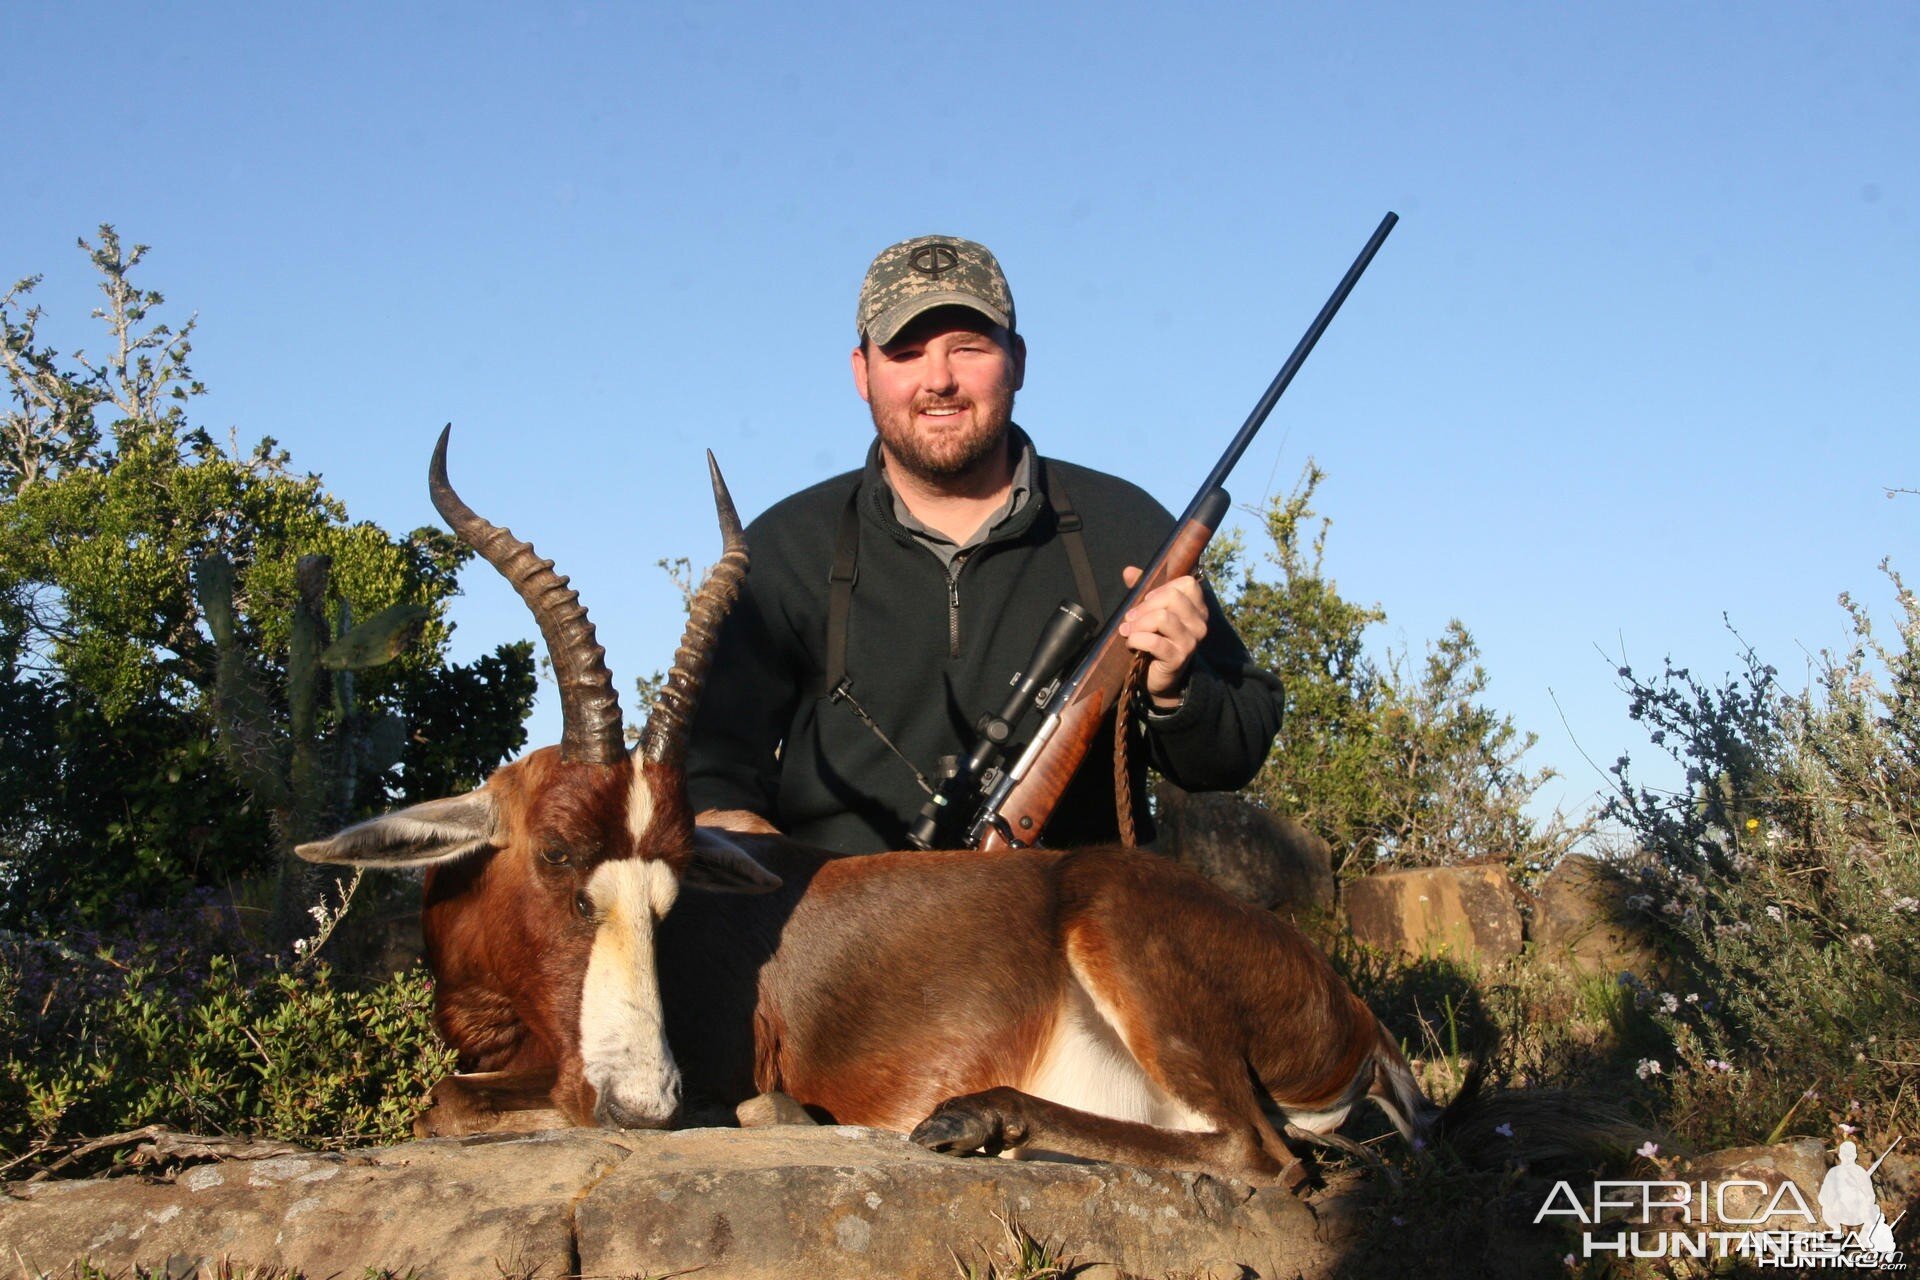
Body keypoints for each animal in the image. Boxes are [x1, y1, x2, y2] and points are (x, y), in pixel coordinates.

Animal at [295, 433, 1443, 1189]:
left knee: (1259, 1153)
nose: (645, 1102)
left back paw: (971, 1118)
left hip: (1121, 933)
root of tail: (1357, 1019)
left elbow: (445, 1101)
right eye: (556, 855)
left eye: (669, 895)